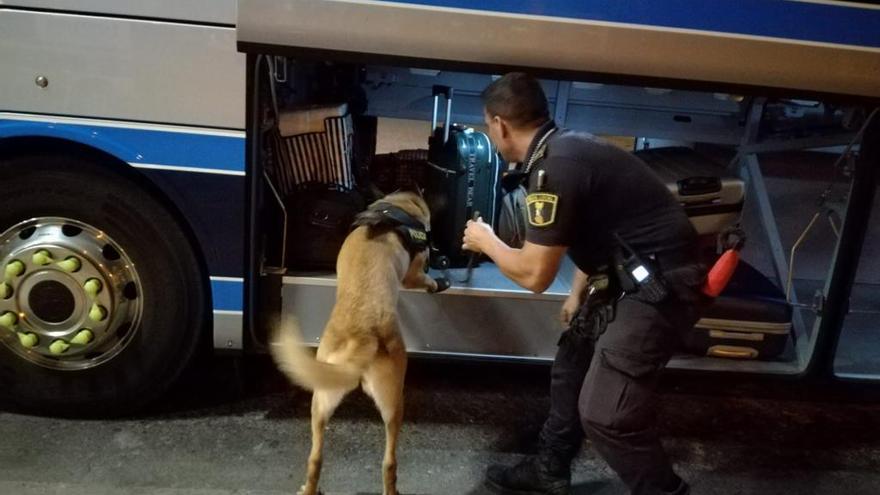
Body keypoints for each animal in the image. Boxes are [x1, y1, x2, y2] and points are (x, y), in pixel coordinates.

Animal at [270, 191, 446, 495]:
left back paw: (310, 488)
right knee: (389, 462)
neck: (397, 206)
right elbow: (423, 279)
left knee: (315, 458)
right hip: (394, 403)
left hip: (322, 399)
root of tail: (364, 337)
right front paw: (435, 283)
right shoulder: (414, 273)